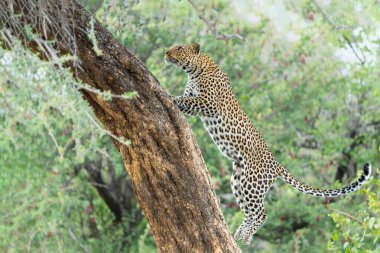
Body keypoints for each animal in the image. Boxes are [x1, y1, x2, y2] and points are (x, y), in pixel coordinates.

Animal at [164, 43, 372, 245]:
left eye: (179, 48)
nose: (166, 52)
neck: (195, 71)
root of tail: (276, 163)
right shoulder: (196, 101)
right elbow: (187, 101)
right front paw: (170, 95)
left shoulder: (208, 102)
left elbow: (186, 99)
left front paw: (170, 96)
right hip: (238, 180)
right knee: (249, 211)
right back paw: (238, 235)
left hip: (251, 182)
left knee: (262, 213)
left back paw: (246, 237)